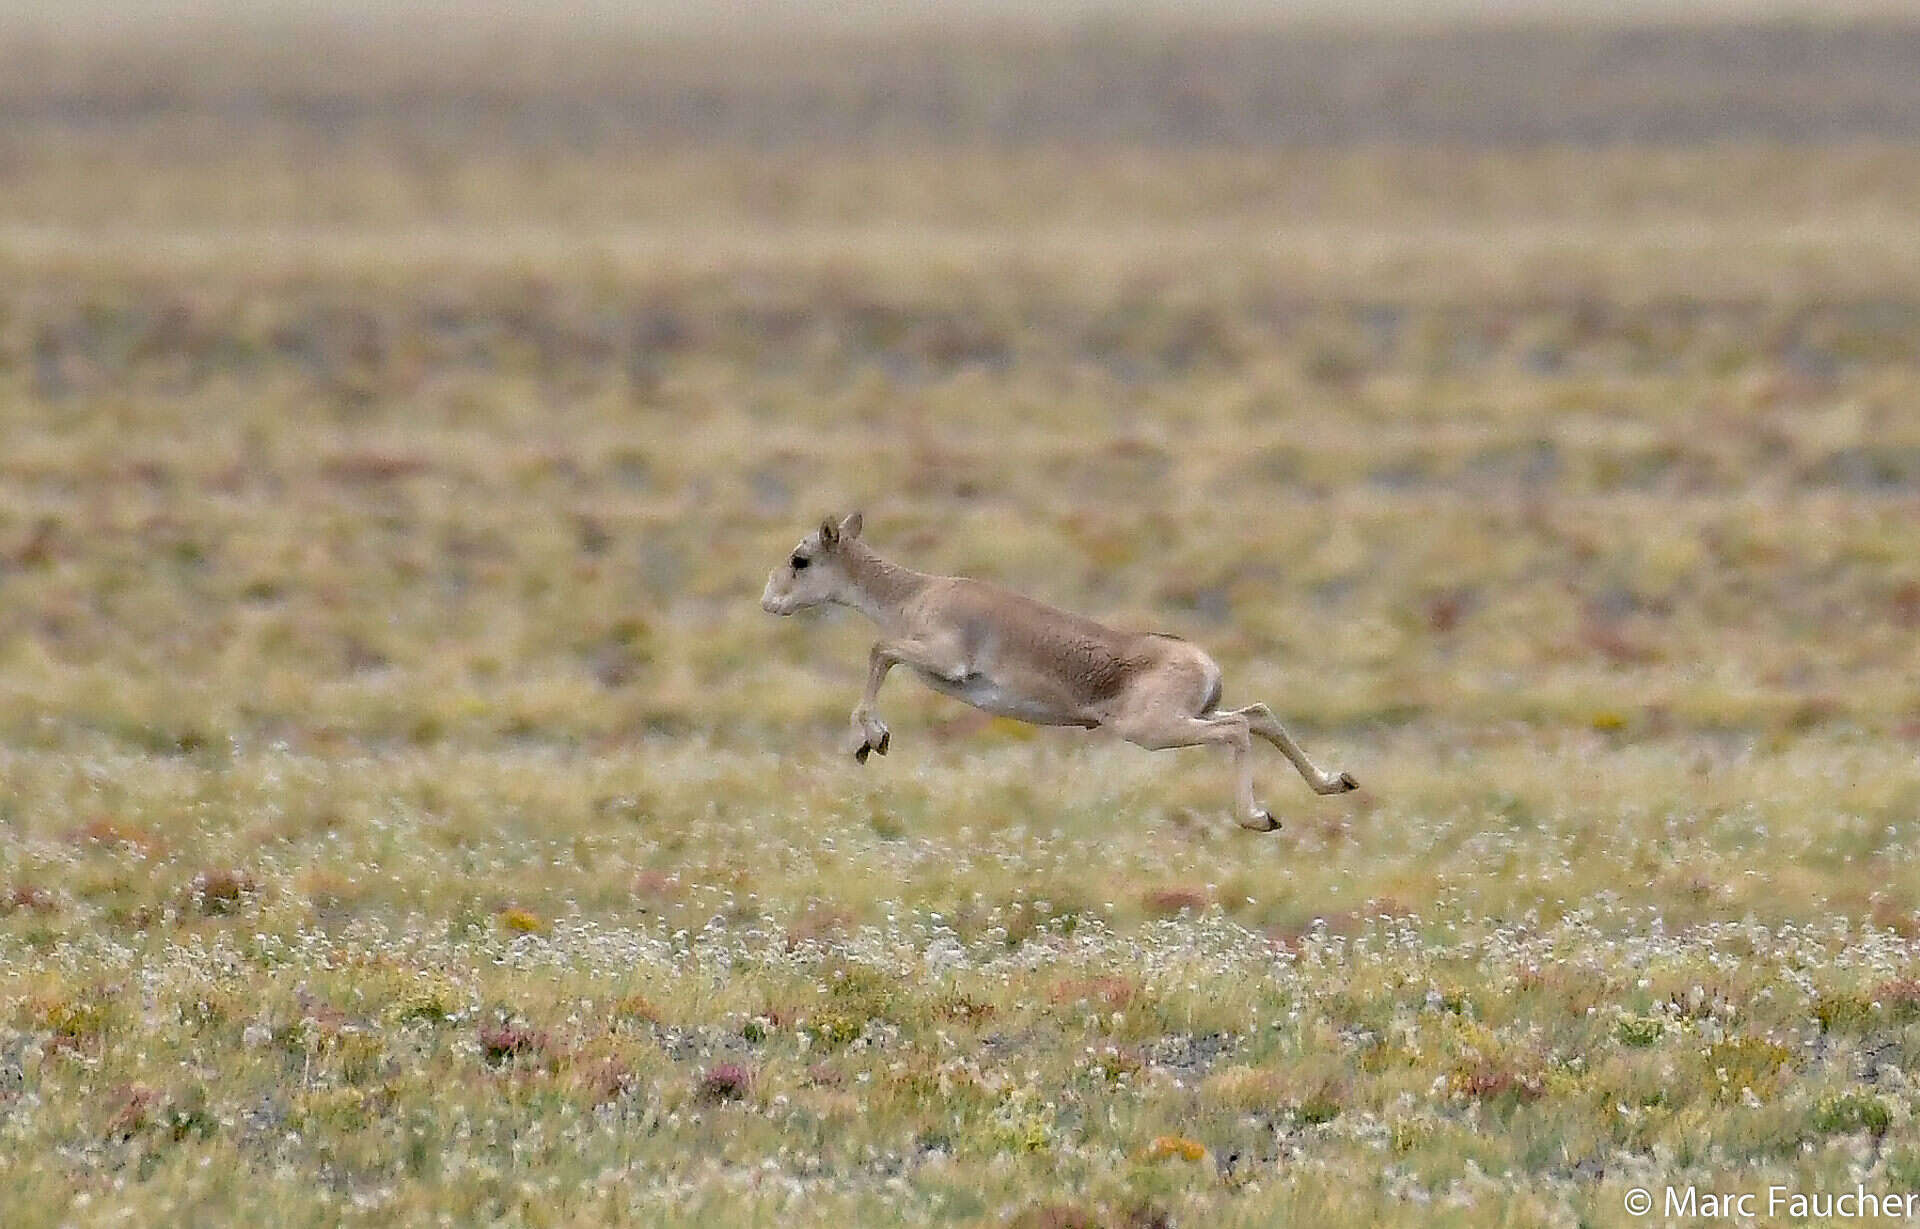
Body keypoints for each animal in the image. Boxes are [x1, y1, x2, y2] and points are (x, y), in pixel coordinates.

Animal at [756, 514, 1359, 829]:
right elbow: (880, 652)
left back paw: (1258, 817)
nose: (769, 602)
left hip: (1154, 730)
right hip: (1192, 717)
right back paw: (1335, 781)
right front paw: (869, 740)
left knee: (1237, 730)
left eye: (799, 559)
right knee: (1259, 715)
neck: (915, 593)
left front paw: (873, 737)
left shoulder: (941, 659)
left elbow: (879, 649)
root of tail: (1204, 662)